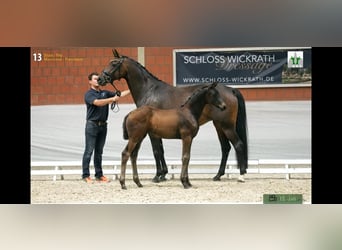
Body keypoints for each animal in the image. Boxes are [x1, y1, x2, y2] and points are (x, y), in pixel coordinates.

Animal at [96, 48, 248, 182]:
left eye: (114, 63)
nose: (100, 79)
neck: (149, 90)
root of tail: (231, 89)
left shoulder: (151, 132)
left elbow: (156, 151)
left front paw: (158, 175)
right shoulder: (157, 130)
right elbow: (161, 151)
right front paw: (163, 174)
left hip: (226, 126)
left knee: (238, 145)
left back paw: (241, 176)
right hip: (219, 126)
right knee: (226, 148)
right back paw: (218, 175)